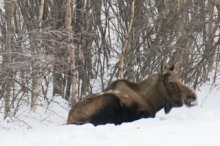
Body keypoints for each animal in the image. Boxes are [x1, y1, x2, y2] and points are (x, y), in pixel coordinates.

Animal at [67, 61, 198, 125]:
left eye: (179, 79)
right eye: (171, 82)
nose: (193, 96)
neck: (152, 102)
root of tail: (71, 119)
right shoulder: (145, 113)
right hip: (111, 102)